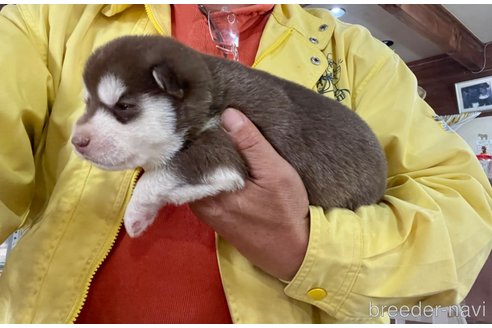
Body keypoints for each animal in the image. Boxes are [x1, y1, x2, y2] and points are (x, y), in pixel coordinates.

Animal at [72, 34, 388, 237]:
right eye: (87, 103)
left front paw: (137, 210)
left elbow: (162, 174)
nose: (77, 141)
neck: (210, 98)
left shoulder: (222, 146)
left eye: (124, 106)